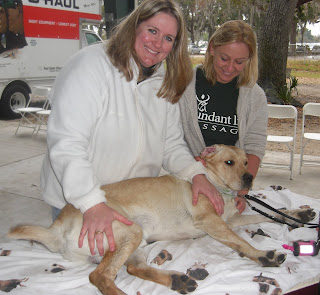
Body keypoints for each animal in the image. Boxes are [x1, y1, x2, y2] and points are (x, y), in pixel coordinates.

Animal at [7, 145, 316, 295]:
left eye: (245, 162)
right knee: (100, 276)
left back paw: (177, 281)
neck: (215, 185)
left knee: (132, 269)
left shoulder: (230, 220)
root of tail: (55, 229)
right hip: (128, 232)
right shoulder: (213, 223)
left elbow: (272, 212)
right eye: (229, 162)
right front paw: (263, 255)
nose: (249, 178)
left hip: (136, 241)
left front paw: (298, 215)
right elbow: (242, 243)